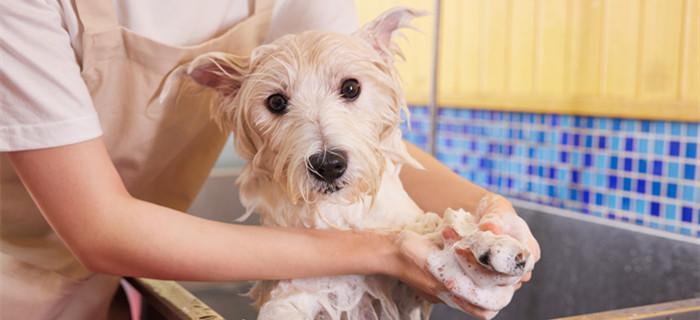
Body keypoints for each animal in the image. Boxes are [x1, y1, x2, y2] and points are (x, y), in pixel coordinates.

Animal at [164, 8, 536, 320]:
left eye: (351, 87)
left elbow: (437, 230)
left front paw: (491, 244)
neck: (341, 216)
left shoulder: (405, 292)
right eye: (276, 102)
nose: (328, 164)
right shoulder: (295, 292)